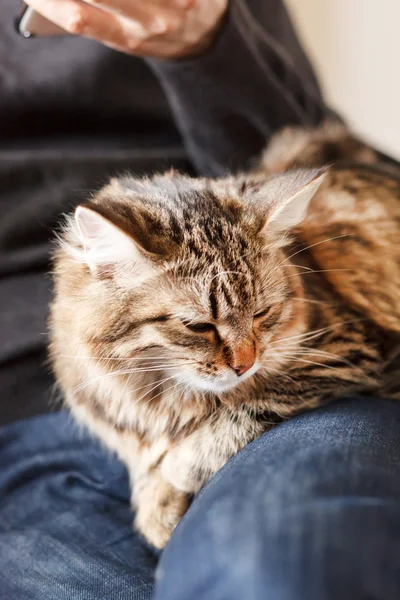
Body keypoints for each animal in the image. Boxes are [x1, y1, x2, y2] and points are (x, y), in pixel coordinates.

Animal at [50, 120, 400, 548]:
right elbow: (144, 463)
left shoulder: (349, 350)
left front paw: (177, 468)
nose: (245, 364)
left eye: (262, 314)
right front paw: (155, 504)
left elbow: (242, 409)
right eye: (198, 326)